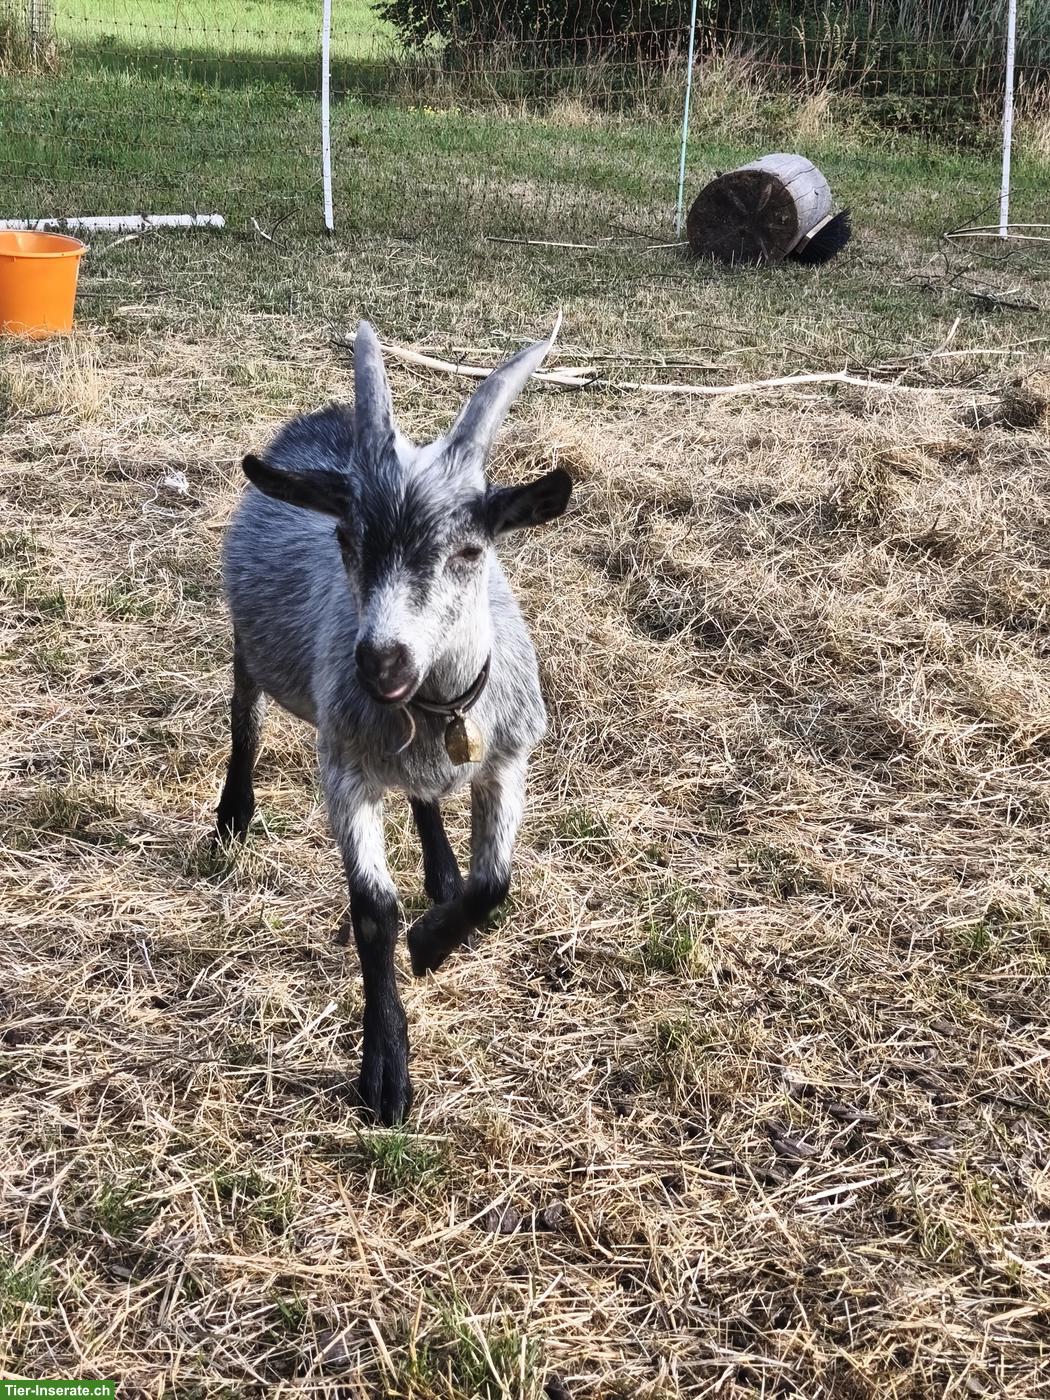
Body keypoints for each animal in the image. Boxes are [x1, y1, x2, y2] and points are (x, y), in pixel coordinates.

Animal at [216, 321, 572, 1125]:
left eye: (471, 550)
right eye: (347, 541)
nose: (381, 660)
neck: (437, 709)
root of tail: (325, 420)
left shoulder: (508, 759)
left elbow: (494, 883)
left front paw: (435, 942)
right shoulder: (344, 766)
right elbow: (373, 912)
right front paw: (385, 1069)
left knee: (424, 794)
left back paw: (440, 867)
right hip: (249, 640)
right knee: (245, 715)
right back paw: (233, 812)